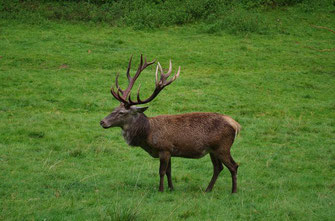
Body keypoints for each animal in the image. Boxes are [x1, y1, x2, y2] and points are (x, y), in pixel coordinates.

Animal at [100, 54, 242, 193]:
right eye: (114, 109)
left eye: (122, 112)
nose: (102, 122)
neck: (147, 134)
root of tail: (236, 125)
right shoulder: (170, 152)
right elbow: (169, 171)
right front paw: (171, 188)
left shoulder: (164, 148)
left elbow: (162, 171)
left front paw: (161, 189)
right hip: (213, 150)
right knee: (218, 167)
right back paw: (208, 189)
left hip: (223, 147)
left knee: (234, 166)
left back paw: (234, 191)